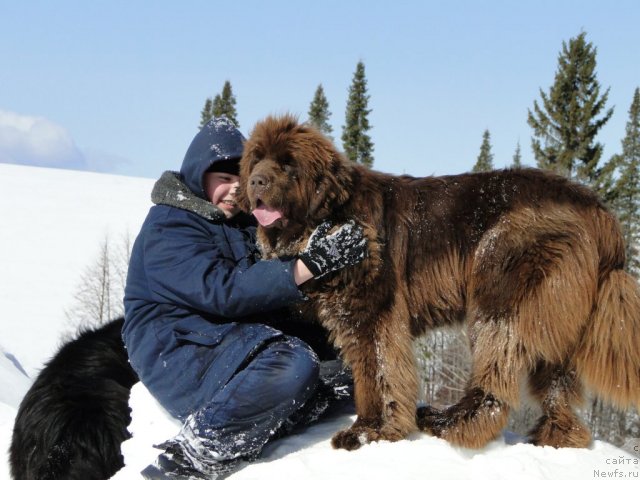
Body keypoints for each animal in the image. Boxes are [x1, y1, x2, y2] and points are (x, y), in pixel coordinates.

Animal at [236, 114, 640, 452]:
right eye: (256, 160)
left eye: (288, 165)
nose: (256, 181)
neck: (330, 218)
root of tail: (598, 211)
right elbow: (368, 376)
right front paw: (369, 429)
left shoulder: (373, 314)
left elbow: (378, 372)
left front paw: (372, 431)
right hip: (555, 313)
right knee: (555, 382)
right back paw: (553, 437)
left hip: (502, 286)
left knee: (496, 371)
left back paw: (453, 423)